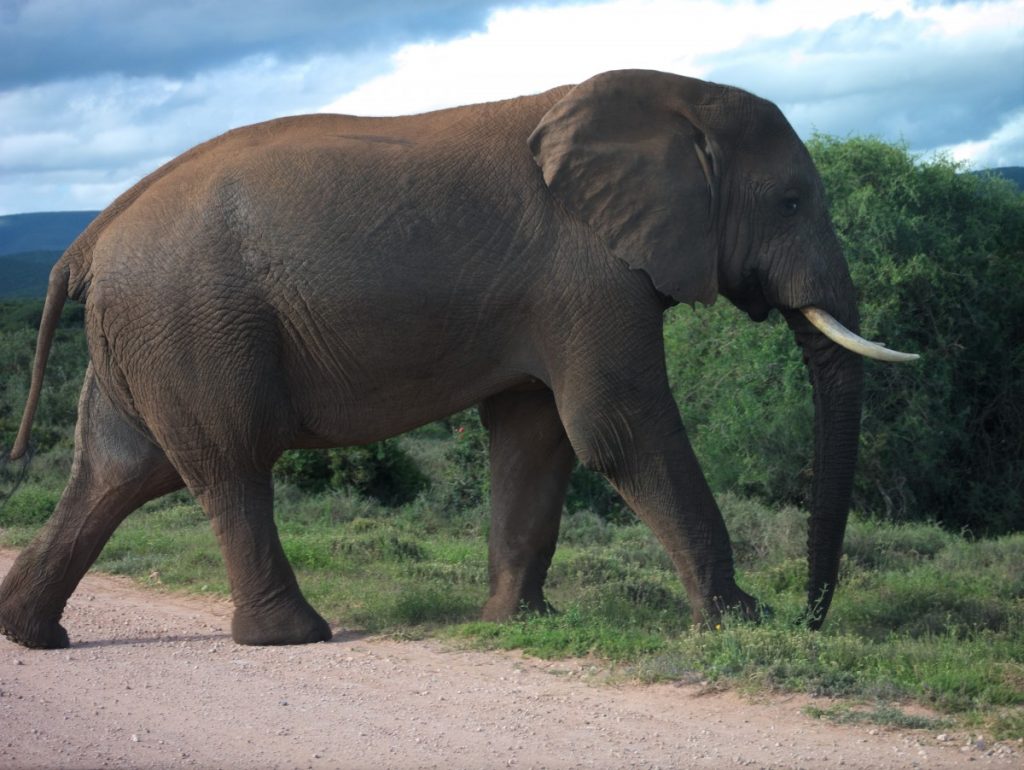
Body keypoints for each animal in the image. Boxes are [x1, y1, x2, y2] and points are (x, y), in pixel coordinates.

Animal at [0, 67, 913, 651]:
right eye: (790, 201)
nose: (812, 621)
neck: (675, 97)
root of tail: (87, 239)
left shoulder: (553, 295)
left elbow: (537, 438)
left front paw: (517, 624)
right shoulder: (586, 272)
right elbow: (618, 428)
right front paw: (737, 620)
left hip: (146, 333)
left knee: (116, 473)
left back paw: (32, 635)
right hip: (193, 325)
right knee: (228, 467)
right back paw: (292, 638)